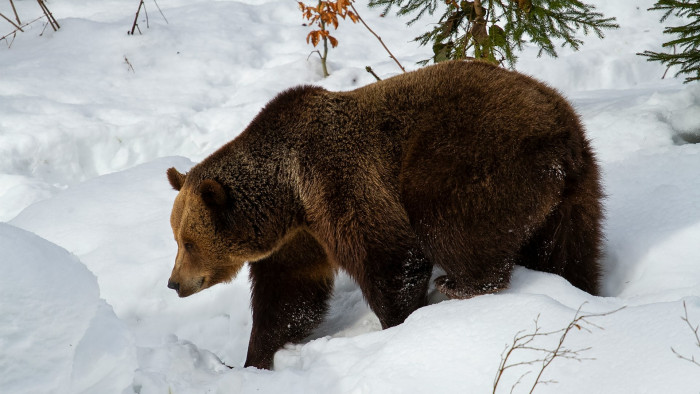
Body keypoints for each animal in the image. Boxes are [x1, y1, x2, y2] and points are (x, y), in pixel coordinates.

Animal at [164, 60, 600, 370]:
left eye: (189, 242)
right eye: (177, 239)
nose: (173, 283)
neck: (289, 194)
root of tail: (561, 135)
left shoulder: (337, 179)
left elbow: (390, 256)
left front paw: (400, 325)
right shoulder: (298, 236)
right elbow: (290, 294)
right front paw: (255, 358)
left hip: (471, 156)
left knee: (449, 224)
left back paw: (459, 285)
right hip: (576, 194)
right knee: (569, 253)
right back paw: (578, 288)